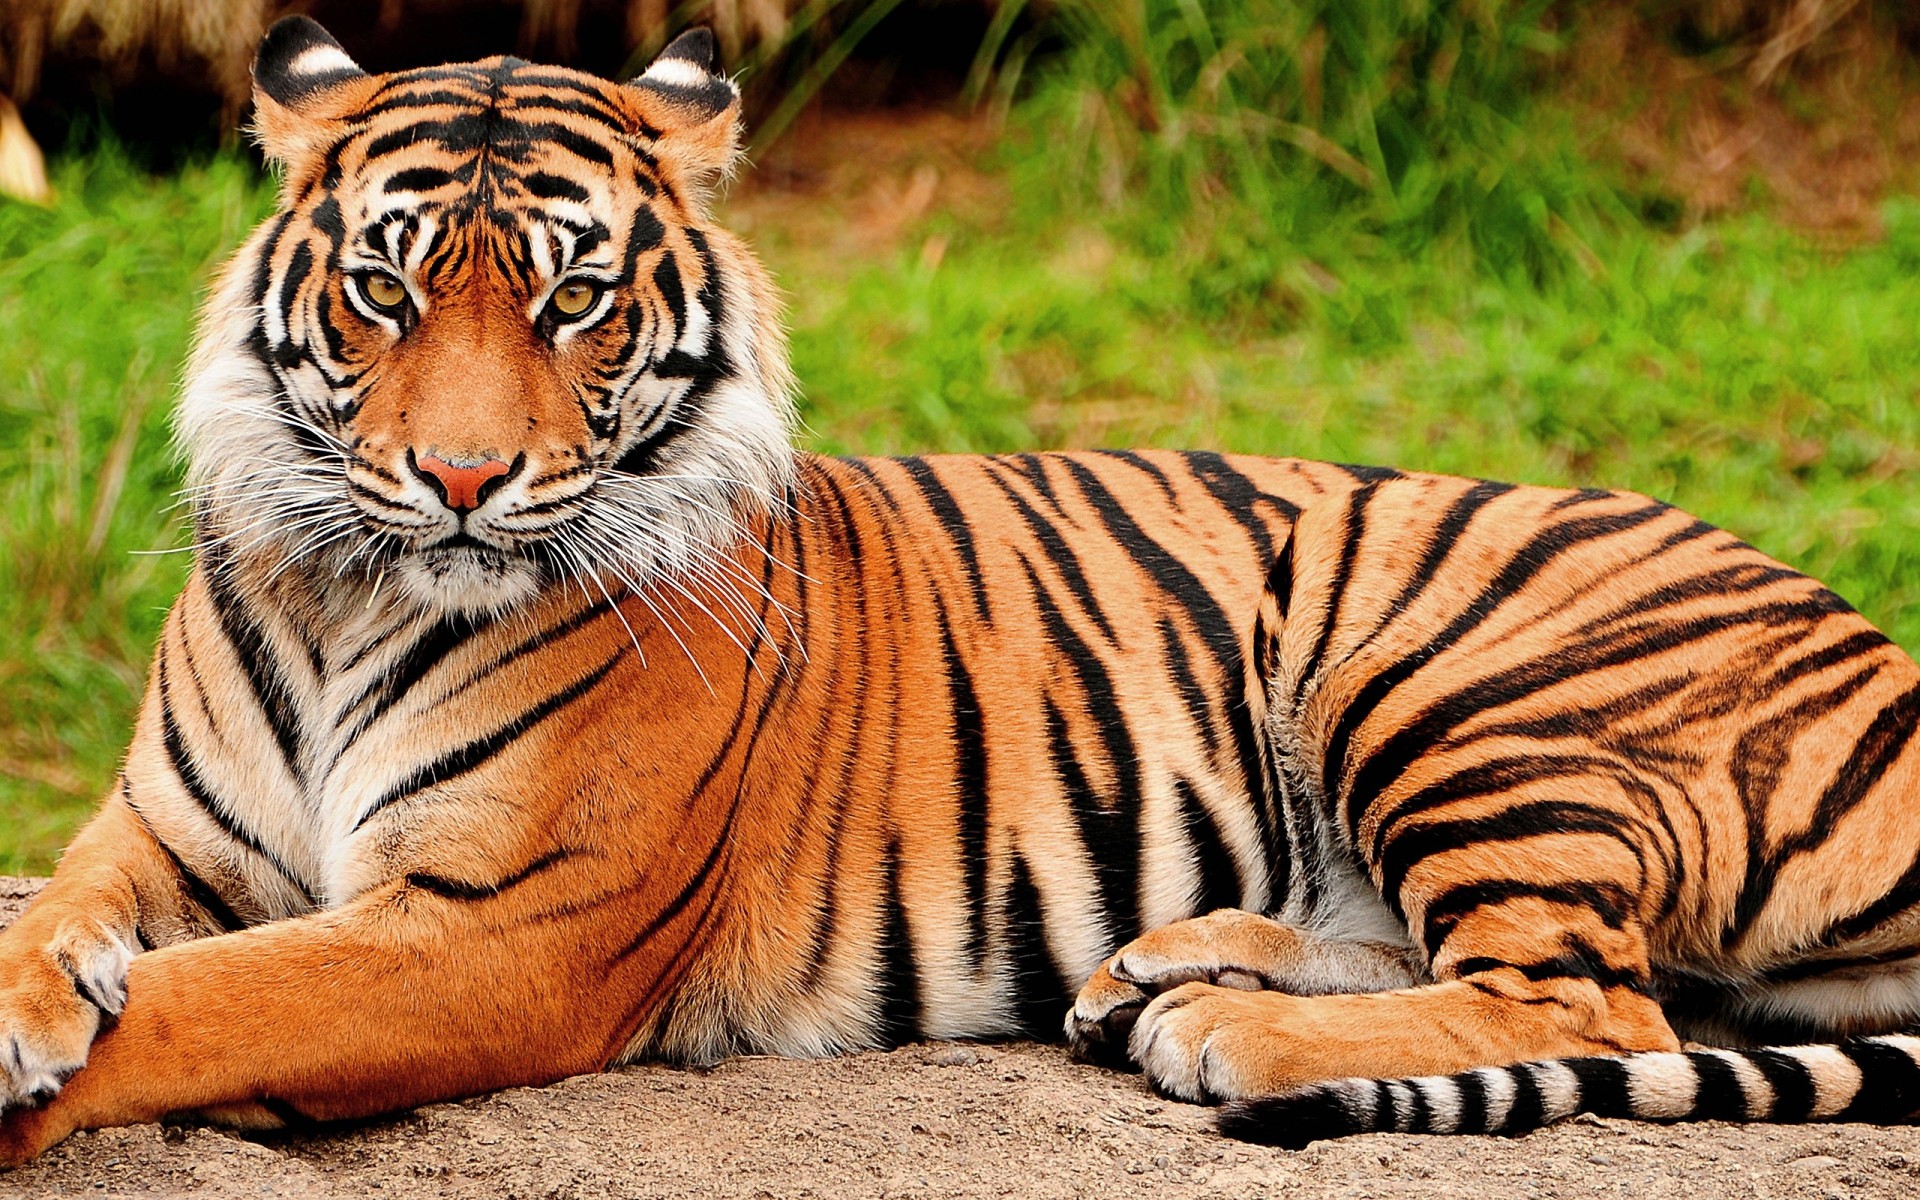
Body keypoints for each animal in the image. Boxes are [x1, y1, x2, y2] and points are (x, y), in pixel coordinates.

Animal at [3, 14, 1920, 1163]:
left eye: (574, 302)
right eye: (387, 293)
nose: (464, 481)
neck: (353, 595)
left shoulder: (497, 930)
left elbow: (209, 1005)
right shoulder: (162, 834)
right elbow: (63, 919)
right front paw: (36, 1003)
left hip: (1449, 672)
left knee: (1587, 990)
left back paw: (1216, 1027)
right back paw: (1161, 967)